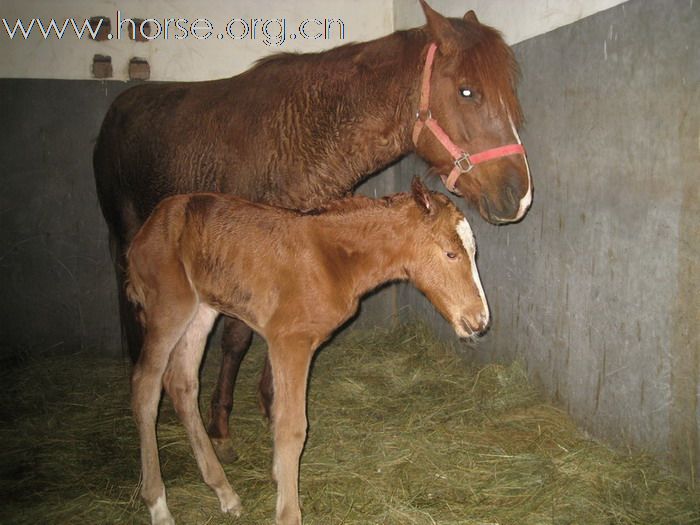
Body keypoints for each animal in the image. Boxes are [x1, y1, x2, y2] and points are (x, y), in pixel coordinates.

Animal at [93, 1, 532, 458]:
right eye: (467, 91)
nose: (518, 194)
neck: (305, 135)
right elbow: (237, 339)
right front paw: (221, 426)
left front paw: (271, 406)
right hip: (128, 236)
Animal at [126, 178, 486, 520]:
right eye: (451, 254)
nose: (480, 320)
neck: (332, 260)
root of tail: (147, 228)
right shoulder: (289, 342)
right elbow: (291, 427)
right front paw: (287, 511)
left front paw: (277, 477)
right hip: (169, 307)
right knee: (145, 386)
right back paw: (158, 505)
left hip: (201, 311)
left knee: (182, 383)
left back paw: (225, 493)